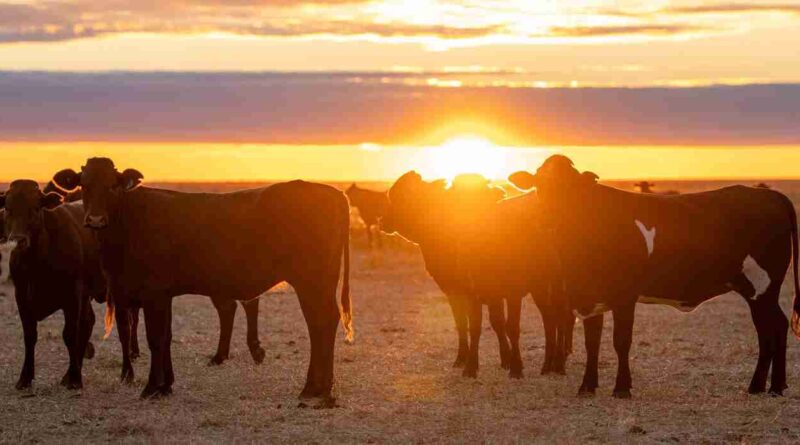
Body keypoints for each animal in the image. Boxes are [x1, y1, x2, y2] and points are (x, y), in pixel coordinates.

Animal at [0, 180, 106, 388]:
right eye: (8, 208)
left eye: (35, 208)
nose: (18, 239)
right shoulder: (21, 295)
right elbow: (30, 335)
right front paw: (24, 378)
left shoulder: (72, 295)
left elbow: (70, 334)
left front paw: (75, 379)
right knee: (88, 322)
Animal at [50, 159, 350, 402]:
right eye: (84, 185)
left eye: (112, 186)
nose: (95, 220)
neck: (131, 220)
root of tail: (334, 193)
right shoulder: (161, 296)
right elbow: (167, 336)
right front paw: (166, 385)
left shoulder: (152, 294)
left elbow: (155, 338)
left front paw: (151, 387)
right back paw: (320, 387)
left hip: (312, 282)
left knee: (321, 323)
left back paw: (314, 388)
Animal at [510, 154, 796, 398]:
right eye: (539, 185)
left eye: (571, 189)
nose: (548, 217)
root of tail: (769, 194)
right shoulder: (591, 296)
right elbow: (592, 342)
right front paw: (587, 387)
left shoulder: (625, 296)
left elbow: (621, 341)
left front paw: (622, 389)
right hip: (757, 290)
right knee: (776, 326)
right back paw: (773, 386)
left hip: (762, 286)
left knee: (770, 329)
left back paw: (762, 387)